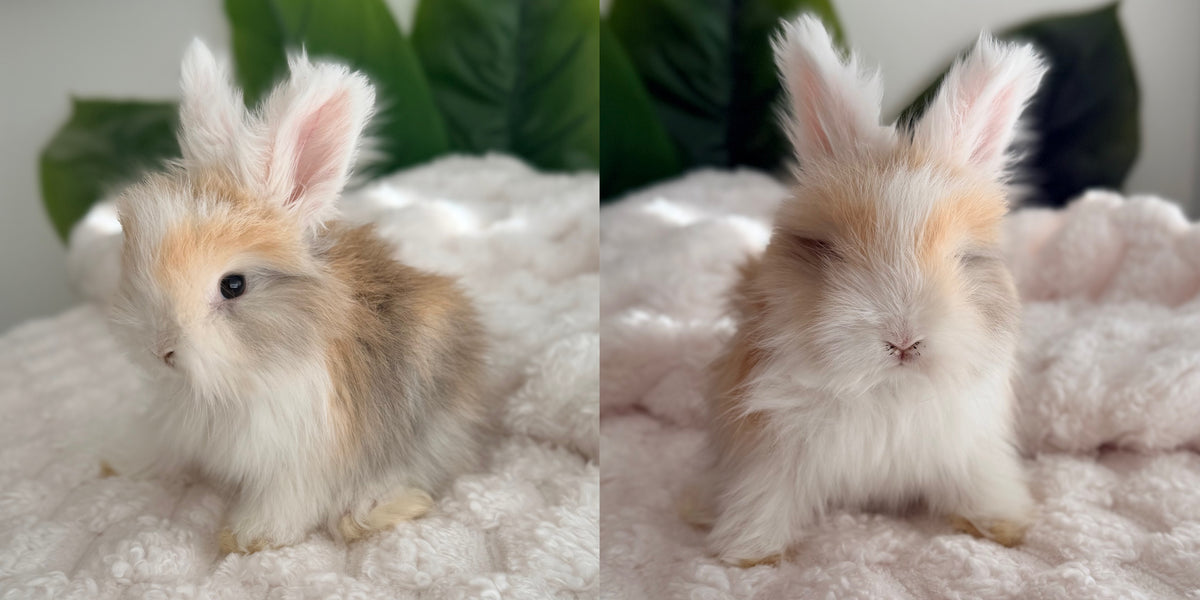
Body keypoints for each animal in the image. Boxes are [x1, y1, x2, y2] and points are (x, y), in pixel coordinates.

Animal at [106, 40, 492, 554]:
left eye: (233, 285)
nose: (161, 351)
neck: (236, 380)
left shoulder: (306, 456)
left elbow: (286, 501)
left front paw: (247, 536)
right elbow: (160, 447)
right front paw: (120, 461)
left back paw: (381, 510)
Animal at [699, 16, 1047, 567]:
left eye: (964, 257)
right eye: (828, 250)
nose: (904, 342)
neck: (887, 390)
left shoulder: (970, 447)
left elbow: (982, 486)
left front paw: (1004, 525)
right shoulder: (769, 451)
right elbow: (765, 498)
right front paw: (748, 551)